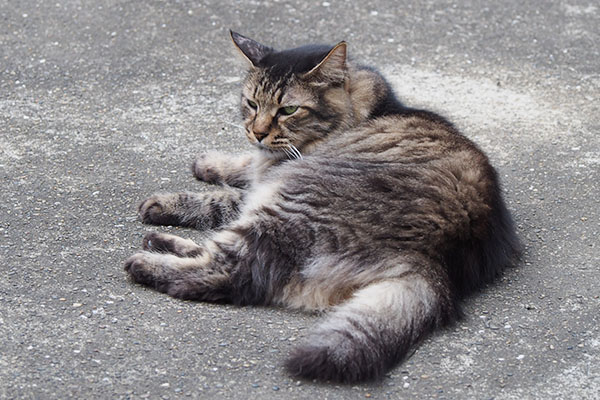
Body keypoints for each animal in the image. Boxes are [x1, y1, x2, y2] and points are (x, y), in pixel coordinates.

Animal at [125, 30, 520, 382]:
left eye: (288, 109)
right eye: (251, 103)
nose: (257, 131)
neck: (364, 109)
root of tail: (434, 261)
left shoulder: (273, 179)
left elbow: (221, 197)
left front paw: (165, 200)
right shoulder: (264, 169)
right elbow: (241, 171)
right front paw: (210, 164)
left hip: (286, 206)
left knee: (229, 272)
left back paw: (145, 262)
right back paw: (160, 243)